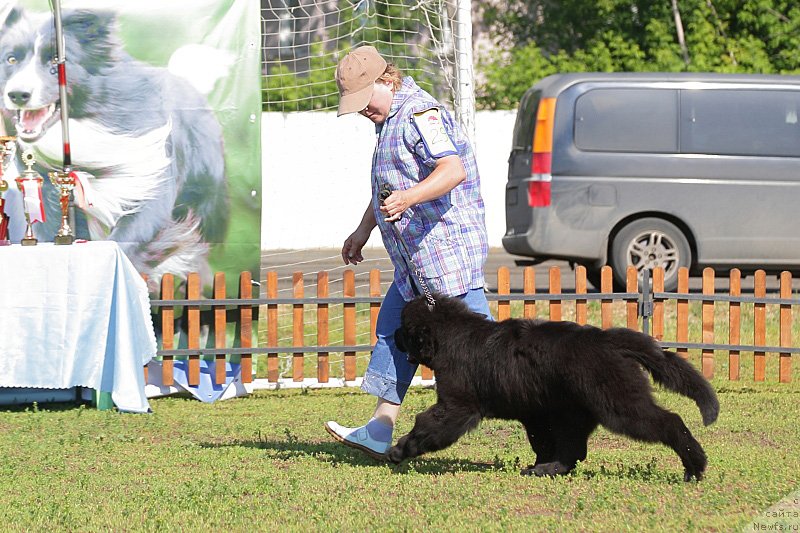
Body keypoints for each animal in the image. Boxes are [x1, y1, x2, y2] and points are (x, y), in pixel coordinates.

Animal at [390, 294, 720, 480]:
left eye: (404, 329)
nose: (391, 336)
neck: (449, 334)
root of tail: (609, 340)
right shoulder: (535, 413)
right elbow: (543, 442)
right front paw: (540, 462)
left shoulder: (458, 407)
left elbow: (428, 426)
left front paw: (399, 450)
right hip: (574, 412)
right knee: (573, 449)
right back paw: (544, 470)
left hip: (619, 403)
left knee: (670, 421)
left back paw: (694, 466)